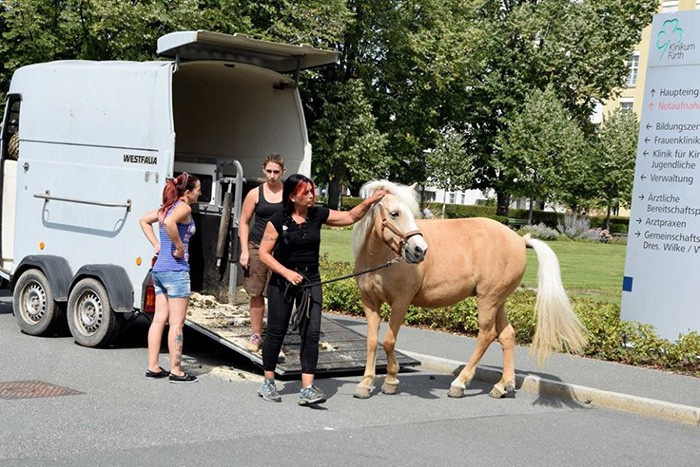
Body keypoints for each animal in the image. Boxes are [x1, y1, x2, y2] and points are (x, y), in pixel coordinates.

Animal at [350, 181, 584, 400]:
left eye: (413, 213)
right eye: (394, 213)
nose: (419, 250)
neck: (380, 258)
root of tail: (520, 239)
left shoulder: (401, 301)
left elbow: (389, 341)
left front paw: (391, 380)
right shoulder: (369, 302)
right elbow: (372, 342)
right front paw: (365, 383)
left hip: (488, 299)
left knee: (487, 335)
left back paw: (460, 384)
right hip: (499, 301)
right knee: (507, 335)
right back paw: (502, 386)